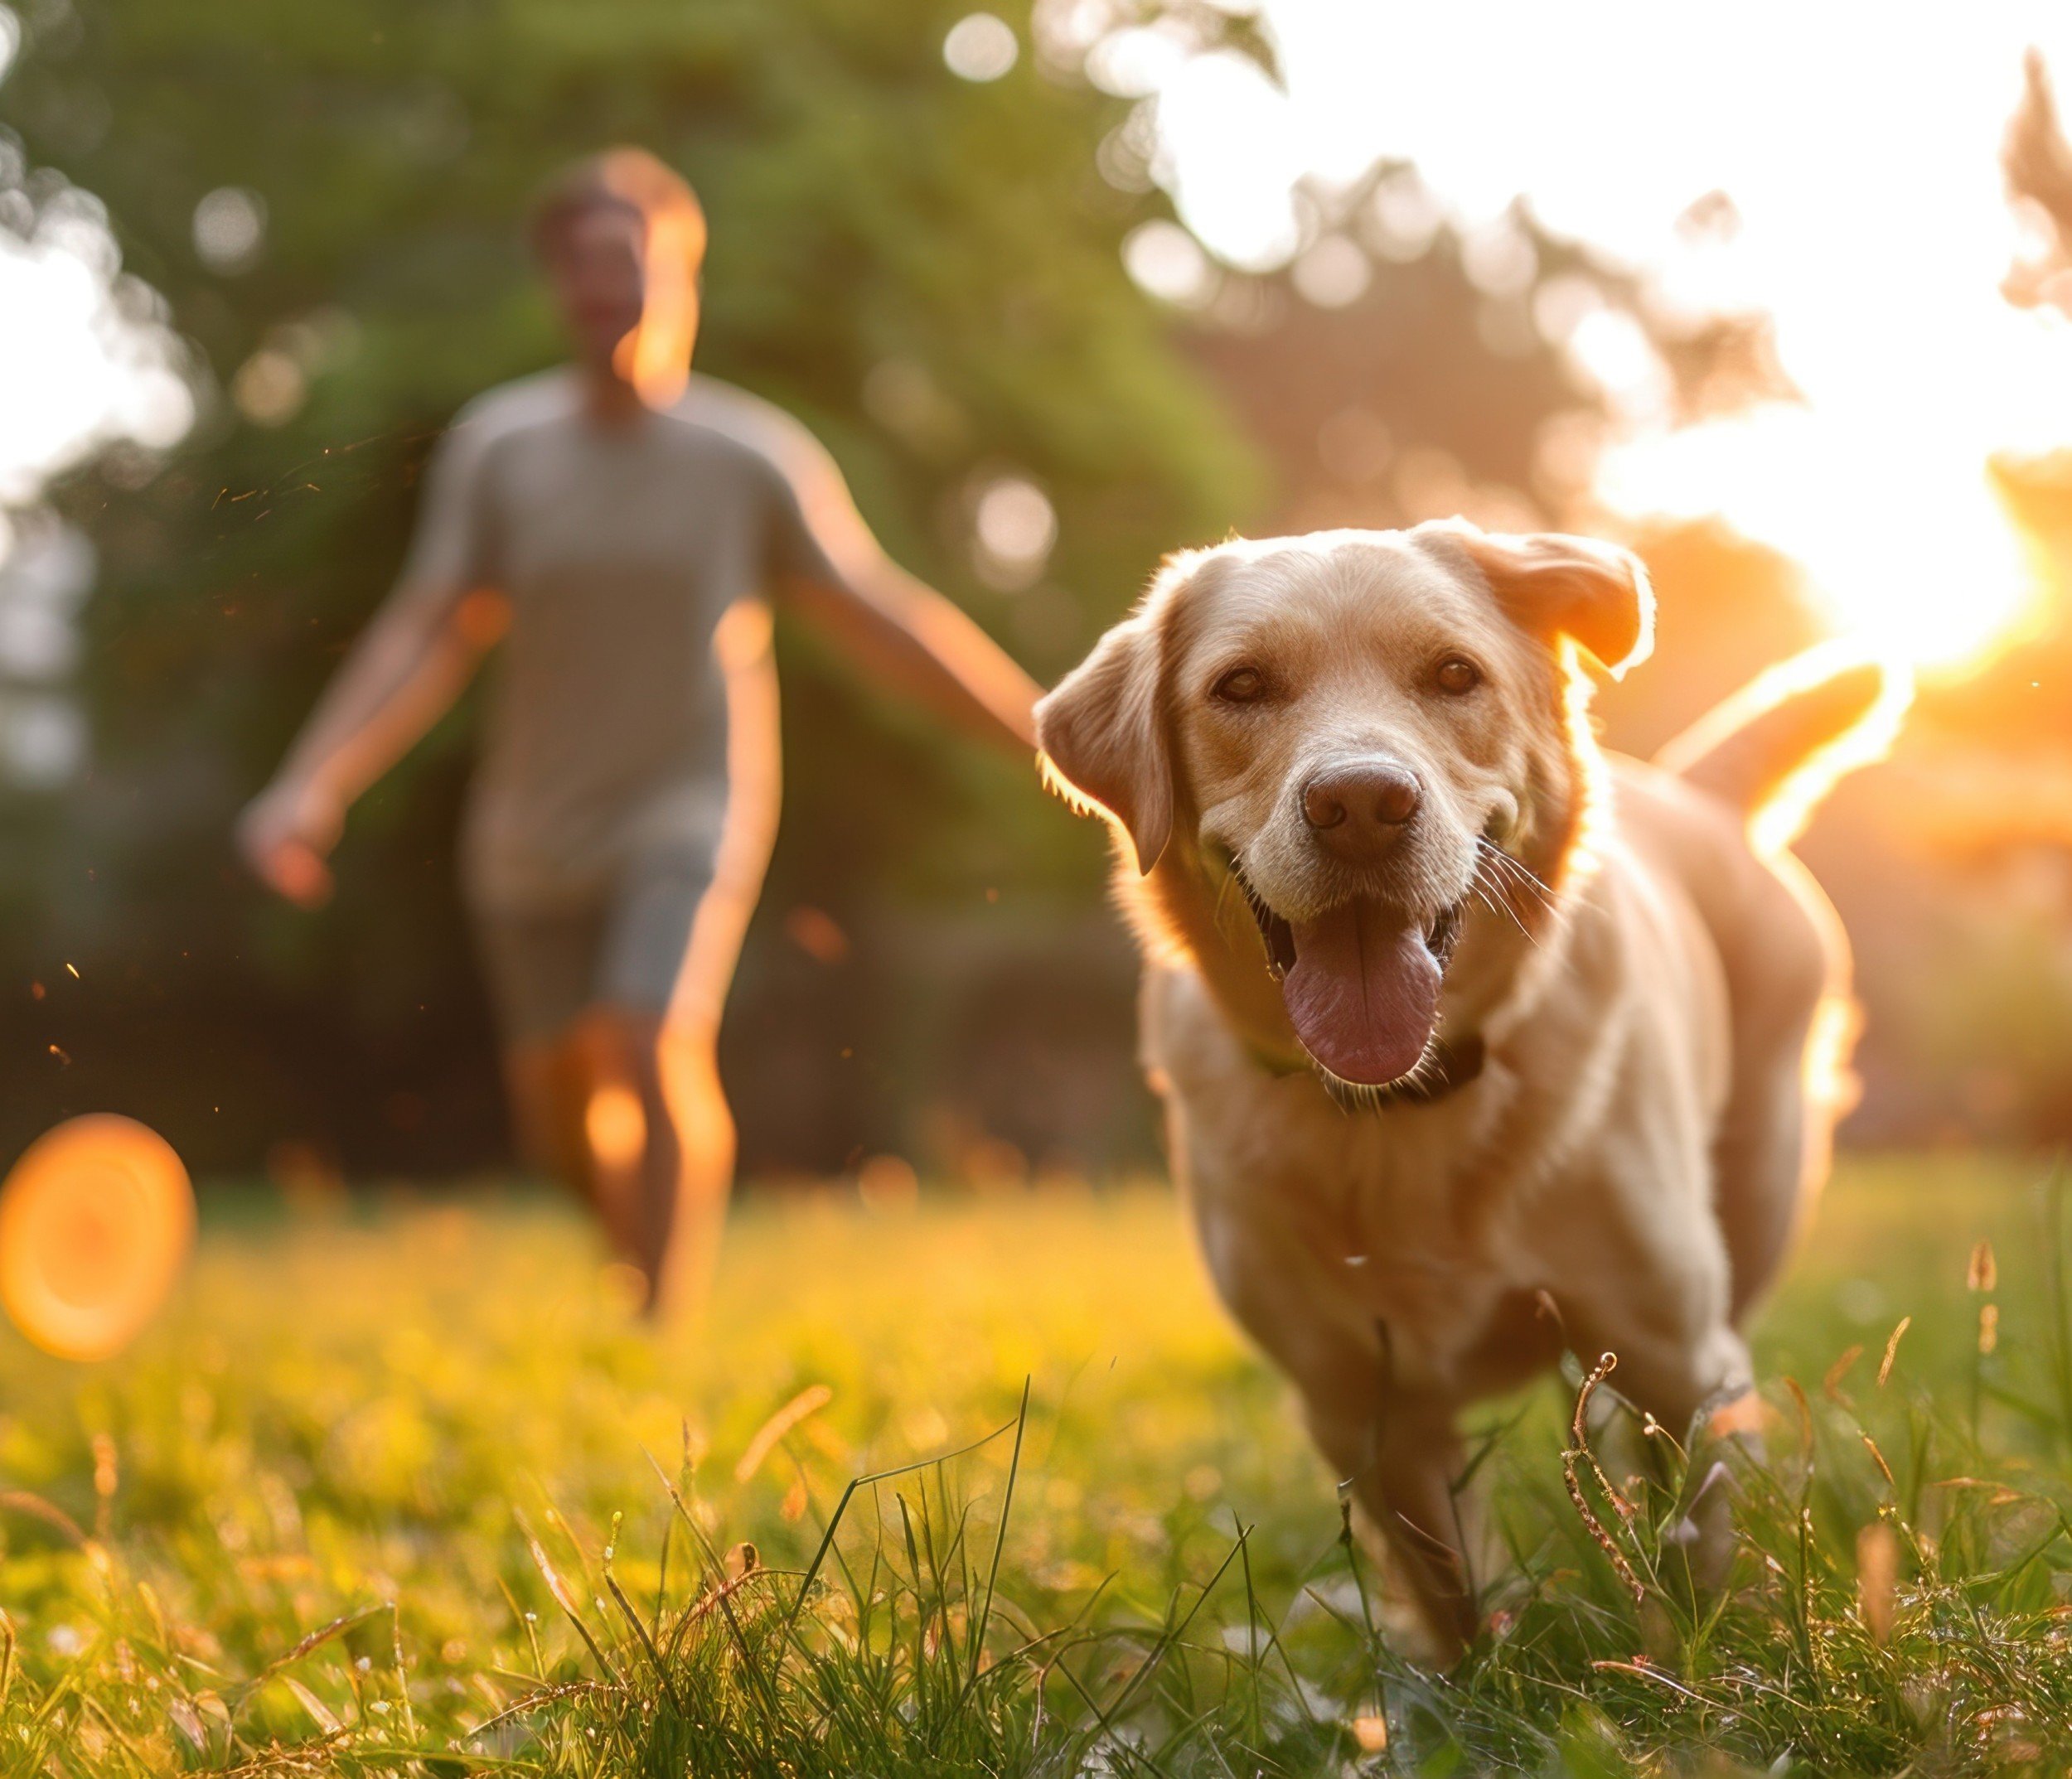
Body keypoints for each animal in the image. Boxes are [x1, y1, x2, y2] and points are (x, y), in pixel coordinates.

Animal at [1036, 521, 1881, 1665]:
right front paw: (1478, 1682)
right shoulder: (1363, 1408)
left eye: (1451, 674)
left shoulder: (1679, 1359)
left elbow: (1700, 1557)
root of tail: (1697, 793)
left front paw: (1705, 1667)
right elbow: (1451, 1592)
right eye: (1240, 685)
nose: (1358, 804)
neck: (1406, 1106)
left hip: (1752, 1207)